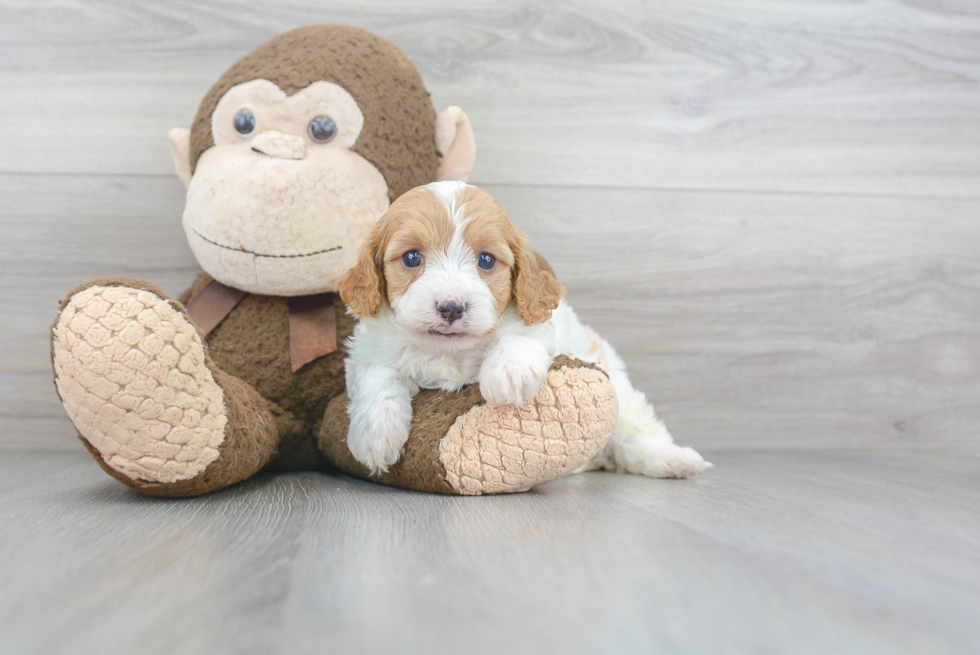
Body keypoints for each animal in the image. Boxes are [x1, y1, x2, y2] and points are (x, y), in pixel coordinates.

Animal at [334, 182, 704, 480]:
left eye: (486, 260)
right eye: (411, 257)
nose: (451, 307)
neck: (450, 352)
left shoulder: (543, 328)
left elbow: (519, 336)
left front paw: (507, 374)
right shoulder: (366, 353)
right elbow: (378, 376)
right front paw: (375, 435)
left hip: (619, 390)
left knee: (633, 432)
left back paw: (674, 460)